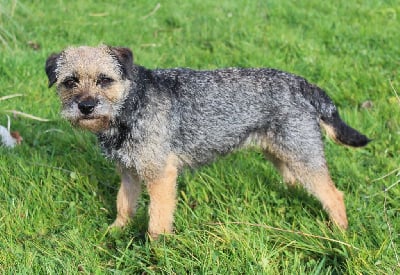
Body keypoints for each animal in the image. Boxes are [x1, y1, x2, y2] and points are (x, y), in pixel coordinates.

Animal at [45, 45, 370, 239]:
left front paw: (156, 250)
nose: (86, 106)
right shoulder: (129, 173)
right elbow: (124, 205)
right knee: (295, 182)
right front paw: (115, 231)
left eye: (105, 80)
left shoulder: (161, 176)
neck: (131, 106)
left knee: (334, 195)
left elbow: (157, 219)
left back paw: (339, 233)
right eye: (70, 81)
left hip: (302, 155)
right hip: (281, 153)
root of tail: (302, 83)